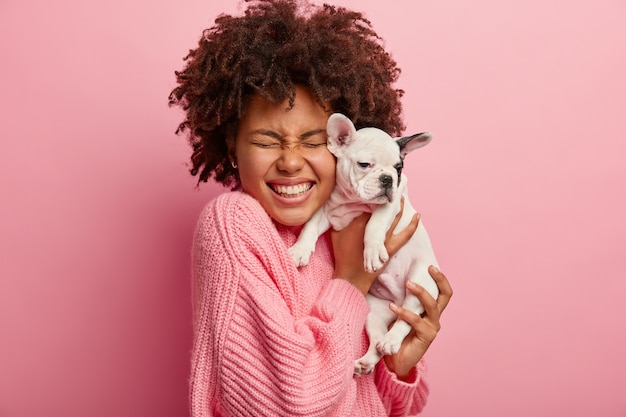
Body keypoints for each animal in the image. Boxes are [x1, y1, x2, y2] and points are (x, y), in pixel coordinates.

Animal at [288, 112, 438, 376]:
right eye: (364, 165)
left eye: (399, 168)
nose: (388, 179)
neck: (352, 201)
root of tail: (397, 301)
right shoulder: (328, 210)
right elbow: (310, 227)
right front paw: (299, 251)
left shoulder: (392, 204)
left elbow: (375, 223)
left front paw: (373, 251)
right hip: (373, 310)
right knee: (378, 337)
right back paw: (367, 361)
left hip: (422, 283)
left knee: (407, 319)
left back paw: (391, 341)